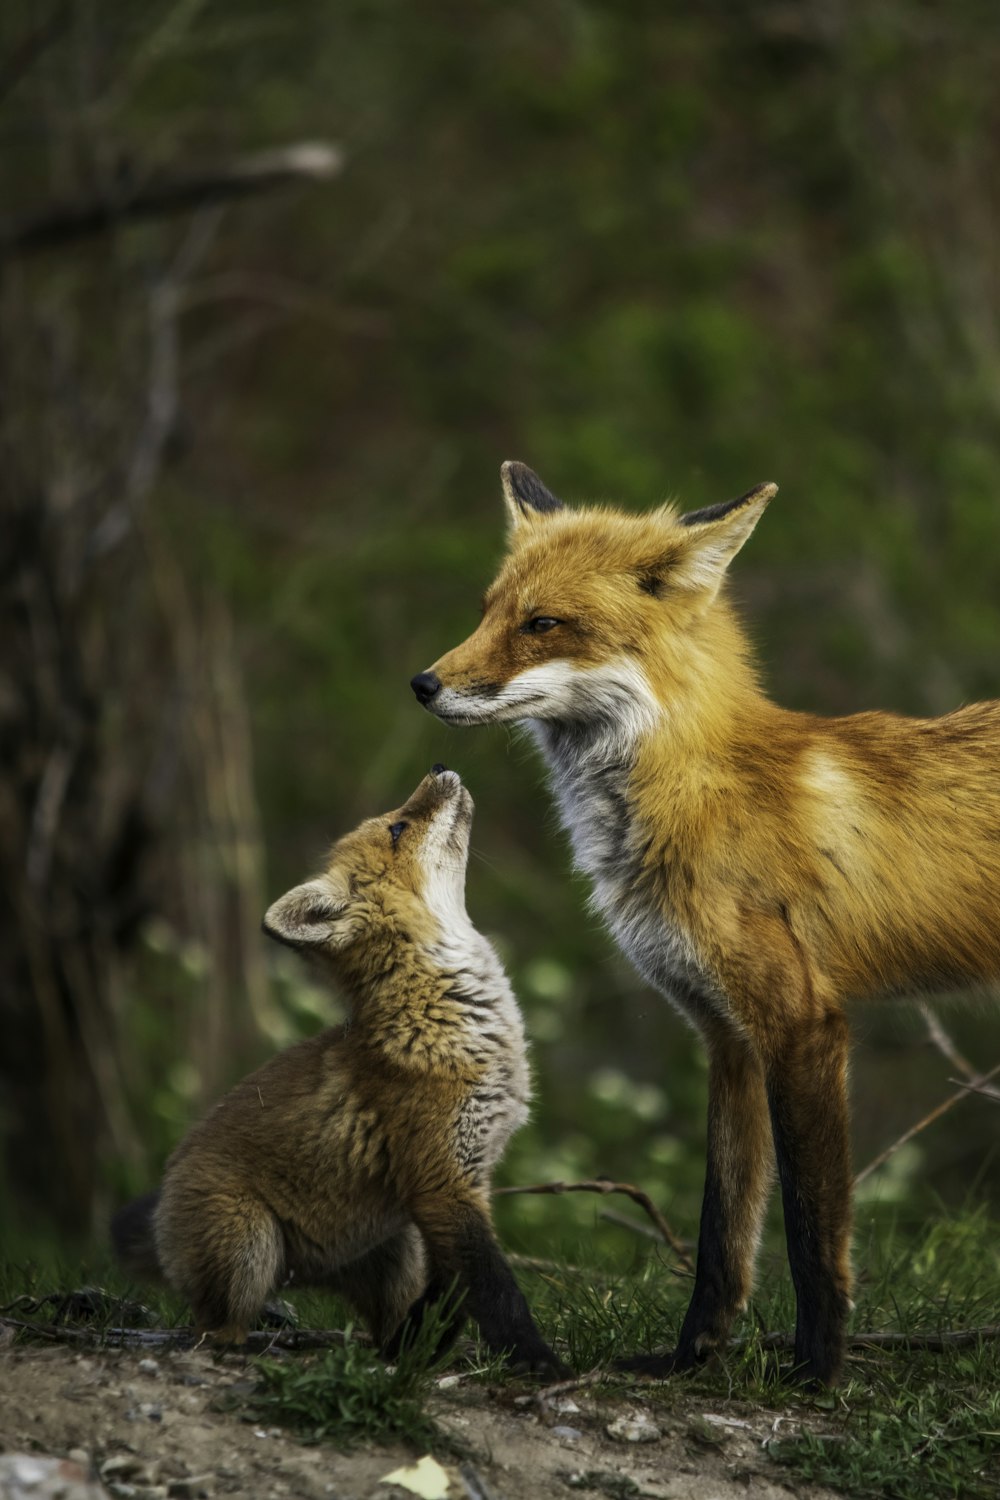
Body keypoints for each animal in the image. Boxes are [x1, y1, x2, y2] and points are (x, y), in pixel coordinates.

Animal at [410, 462, 1000, 1386]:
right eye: (488, 611)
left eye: (543, 624)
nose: (424, 684)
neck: (693, 793)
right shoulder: (725, 1033)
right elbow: (724, 1231)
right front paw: (689, 1360)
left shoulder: (800, 1022)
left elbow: (810, 1231)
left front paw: (817, 1374)